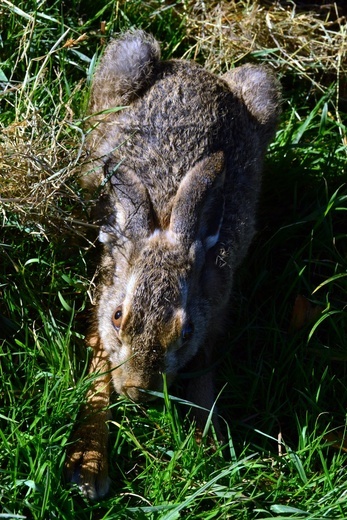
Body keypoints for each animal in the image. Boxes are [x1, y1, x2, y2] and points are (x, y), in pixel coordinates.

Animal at [65, 29, 282, 500]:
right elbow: (96, 378)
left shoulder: (214, 311)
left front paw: (207, 447)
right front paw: (87, 467)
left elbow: (203, 374)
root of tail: (193, 71)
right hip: (129, 59)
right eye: (118, 316)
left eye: (185, 331)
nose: (137, 392)